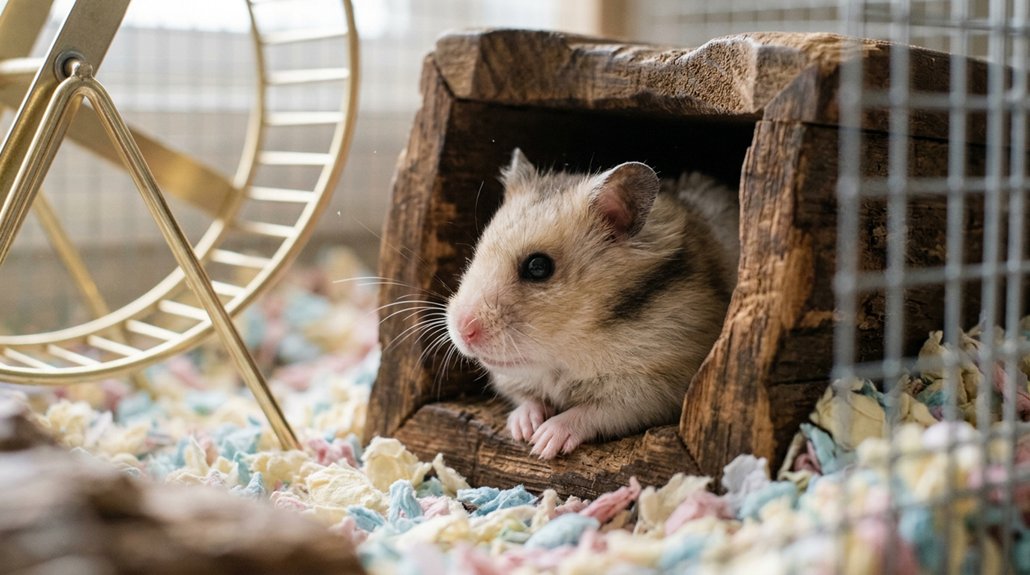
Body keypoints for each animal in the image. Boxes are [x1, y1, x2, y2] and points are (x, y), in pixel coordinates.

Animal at [446, 148, 739, 459]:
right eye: (477, 251)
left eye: (538, 267)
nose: (463, 331)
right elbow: (527, 398)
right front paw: (523, 429)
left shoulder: (658, 386)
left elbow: (596, 411)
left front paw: (543, 444)